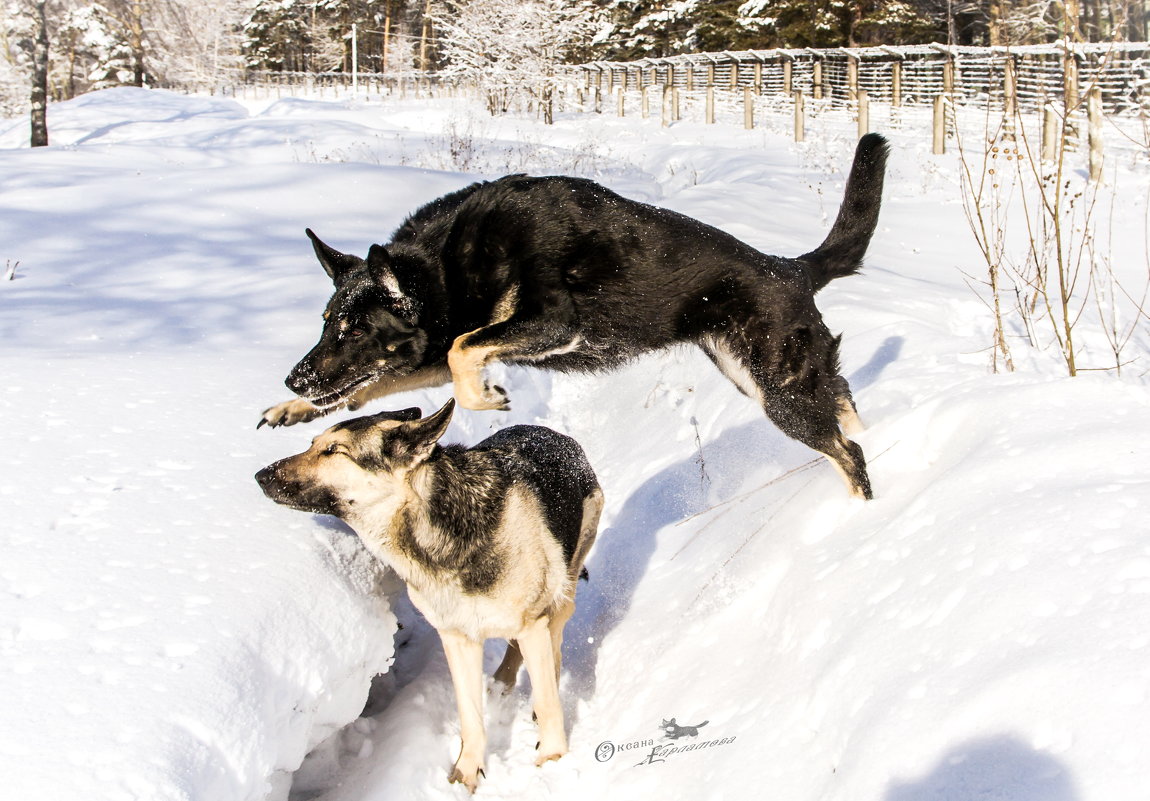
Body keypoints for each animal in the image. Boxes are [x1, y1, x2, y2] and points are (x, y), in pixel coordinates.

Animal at [257, 402, 607, 790]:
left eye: (333, 451)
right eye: (313, 444)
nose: (260, 476)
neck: (440, 530)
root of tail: (557, 435)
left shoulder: (532, 622)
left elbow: (546, 699)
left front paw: (553, 757)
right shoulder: (456, 638)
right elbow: (469, 715)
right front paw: (467, 772)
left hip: (563, 591)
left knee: (553, 643)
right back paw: (501, 684)